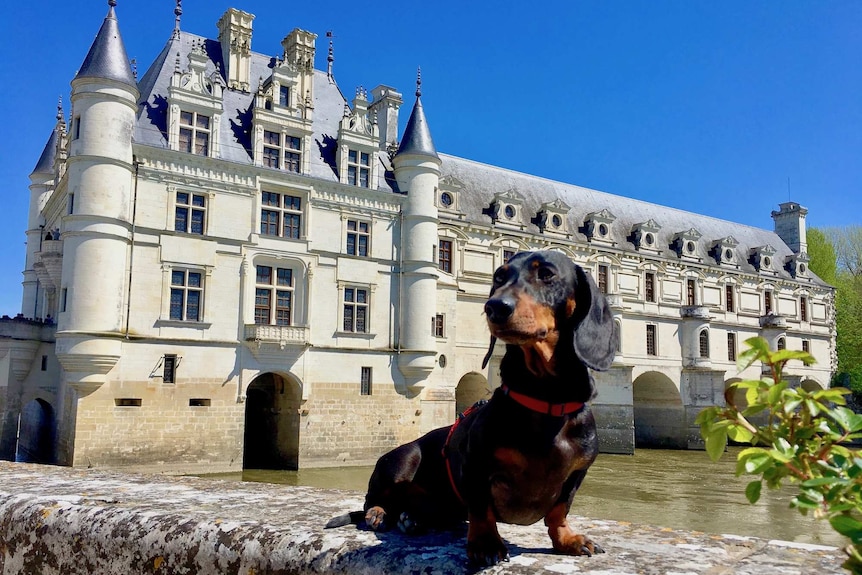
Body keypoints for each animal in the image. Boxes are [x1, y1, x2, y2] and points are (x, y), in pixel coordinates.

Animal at [328, 252, 616, 568]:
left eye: (547, 274)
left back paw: (412, 518)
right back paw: (380, 513)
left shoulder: (577, 473)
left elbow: (559, 510)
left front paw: (567, 539)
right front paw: (485, 543)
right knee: (372, 499)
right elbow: (481, 508)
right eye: (499, 276)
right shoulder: (474, 464)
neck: (545, 400)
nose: (494, 307)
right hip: (403, 461)